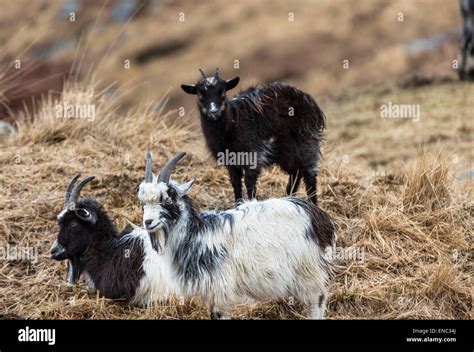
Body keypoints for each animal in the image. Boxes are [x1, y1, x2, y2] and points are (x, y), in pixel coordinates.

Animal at [139, 151, 336, 320]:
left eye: (167, 198)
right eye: (142, 203)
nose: (148, 222)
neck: (198, 234)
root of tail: (319, 216)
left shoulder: (220, 290)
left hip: (308, 269)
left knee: (318, 299)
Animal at [181, 68, 326, 204]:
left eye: (222, 92)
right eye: (200, 94)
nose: (214, 112)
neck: (232, 124)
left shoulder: (253, 154)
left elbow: (249, 183)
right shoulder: (230, 161)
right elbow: (235, 183)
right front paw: (237, 205)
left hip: (306, 143)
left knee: (309, 174)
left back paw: (313, 204)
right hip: (286, 153)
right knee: (296, 173)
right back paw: (288, 198)